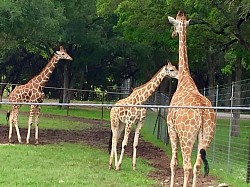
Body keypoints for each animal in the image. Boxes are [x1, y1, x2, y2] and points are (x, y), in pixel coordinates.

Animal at [166, 10, 217, 186]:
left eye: (174, 24)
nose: (173, 33)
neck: (184, 79)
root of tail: (202, 112)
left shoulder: (171, 128)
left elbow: (173, 163)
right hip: (206, 135)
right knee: (197, 166)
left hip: (186, 137)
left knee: (187, 166)